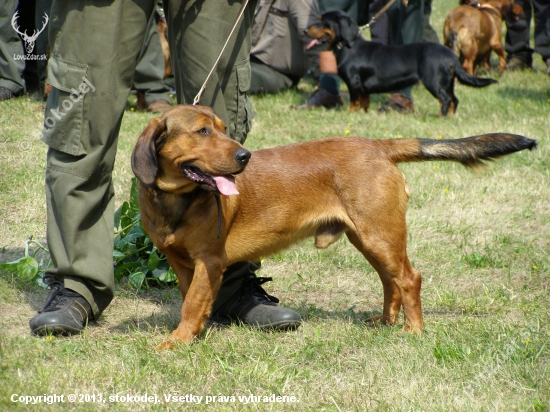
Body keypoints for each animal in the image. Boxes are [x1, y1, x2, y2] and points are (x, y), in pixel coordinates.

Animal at [132, 104, 536, 348]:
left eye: (222, 129)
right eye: (202, 132)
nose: (244, 156)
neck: (177, 201)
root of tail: (377, 146)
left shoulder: (210, 262)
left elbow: (193, 303)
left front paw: (176, 341)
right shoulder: (182, 264)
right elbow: (192, 300)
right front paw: (194, 334)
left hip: (381, 235)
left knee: (409, 278)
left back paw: (413, 330)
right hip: (369, 238)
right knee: (390, 280)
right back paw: (386, 322)